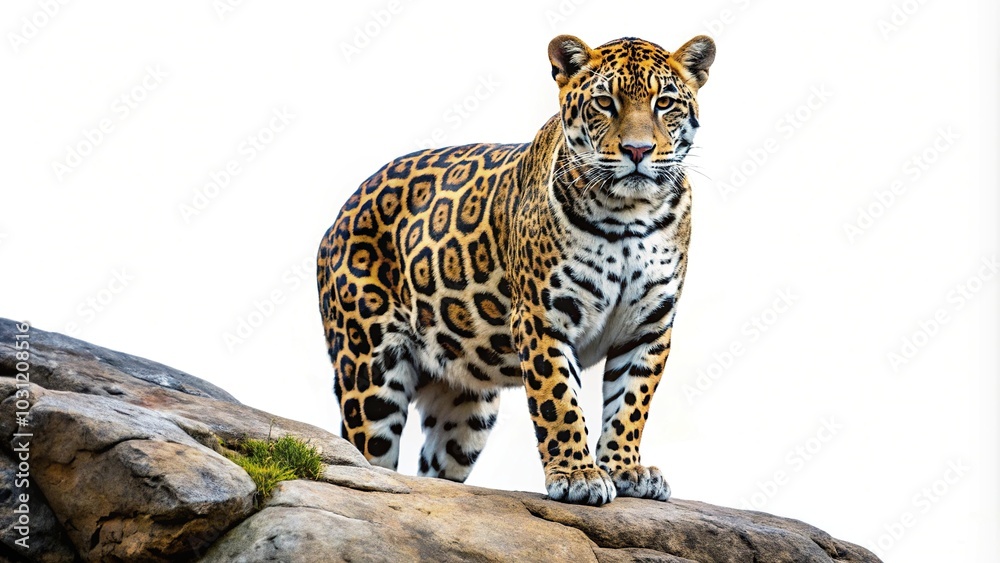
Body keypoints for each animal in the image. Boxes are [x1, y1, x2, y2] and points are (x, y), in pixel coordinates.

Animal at [317, 34, 715, 506]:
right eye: (604, 102)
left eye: (664, 102)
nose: (638, 150)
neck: (630, 214)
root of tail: (339, 216)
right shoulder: (543, 318)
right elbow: (559, 401)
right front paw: (578, 475)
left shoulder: (649, 326)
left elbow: (630, 405)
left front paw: (625, 468)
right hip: (370, 371)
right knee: (367, 456)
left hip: (466, 410)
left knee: (435, 472)